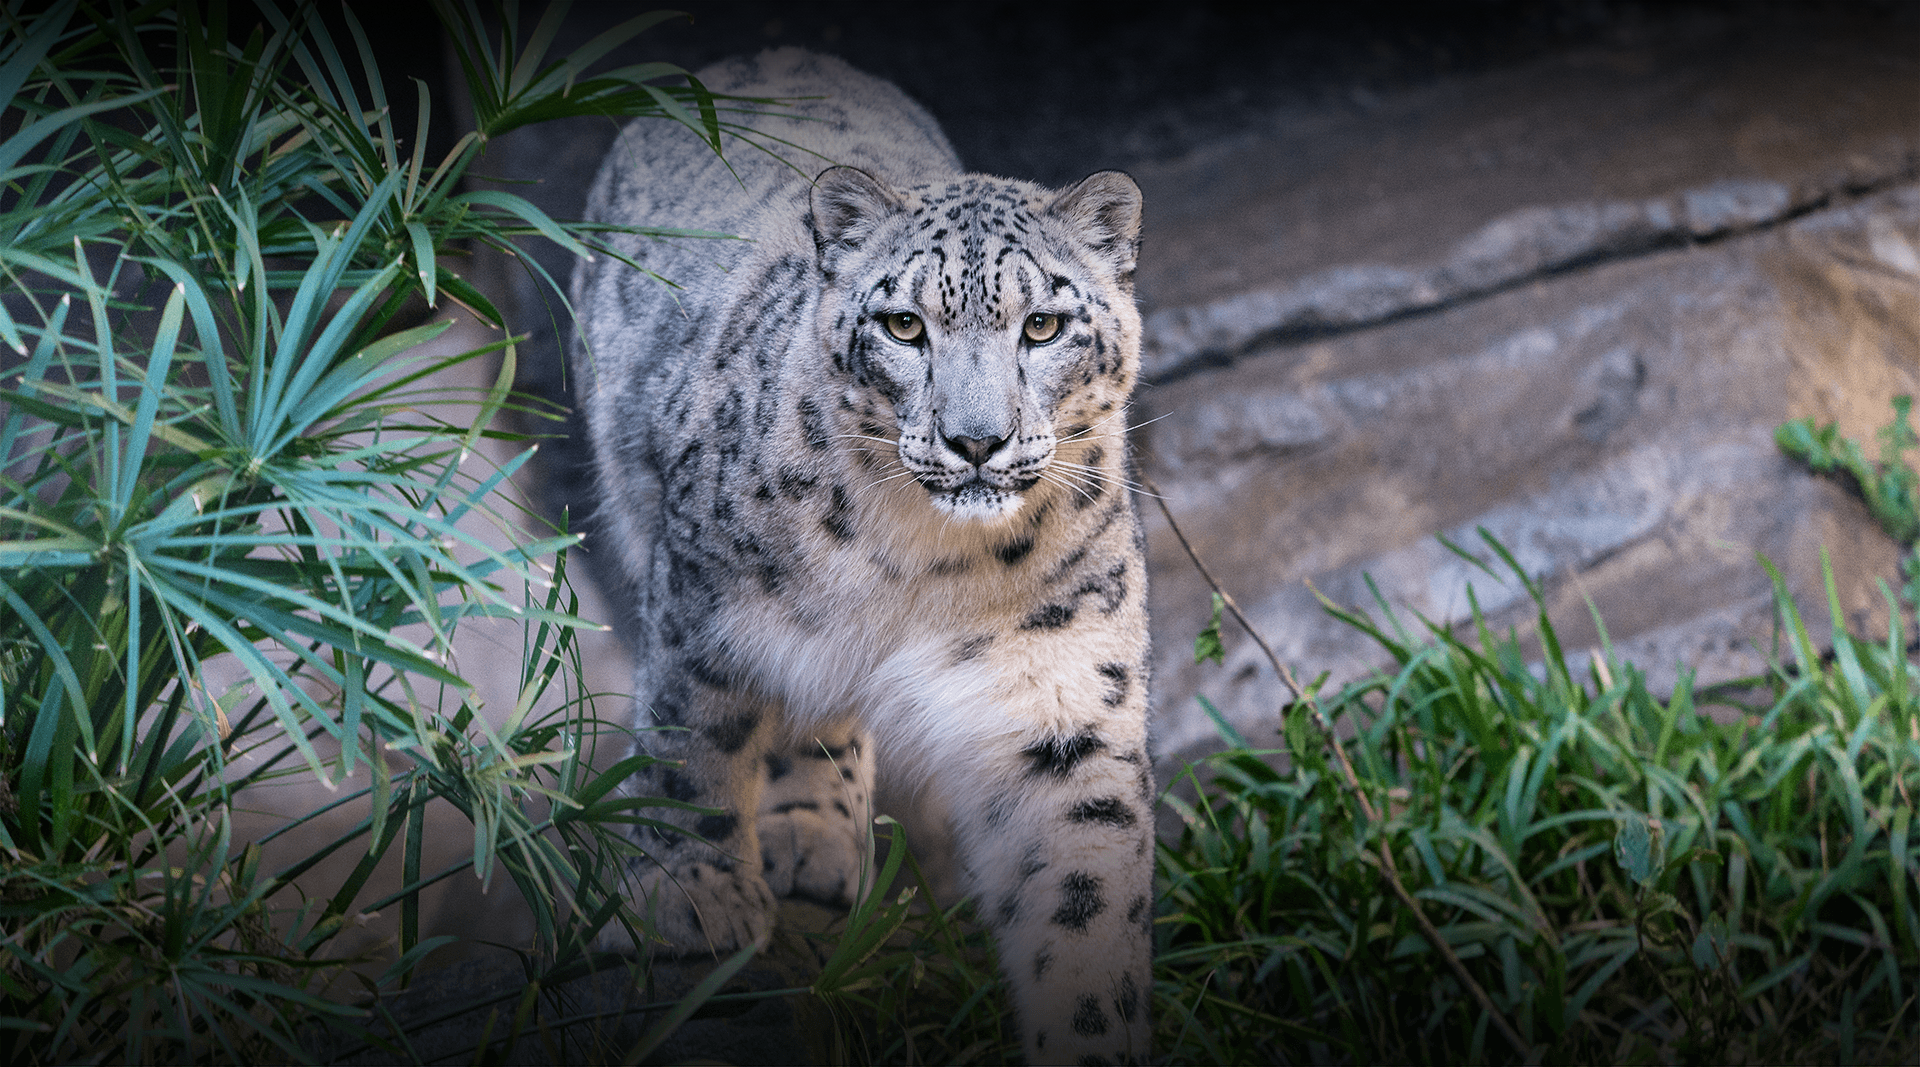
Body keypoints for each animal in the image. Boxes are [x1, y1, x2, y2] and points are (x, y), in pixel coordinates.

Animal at [569, 48, 1153, 1064]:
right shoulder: (703, 595)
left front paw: (1092, 1032)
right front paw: (691, 894)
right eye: (904, 325)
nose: (975, 441)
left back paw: (815, 838)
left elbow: (1082, 890)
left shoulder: (1065, 684)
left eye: (1043, 325)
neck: (929, 562)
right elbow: (689, 734)